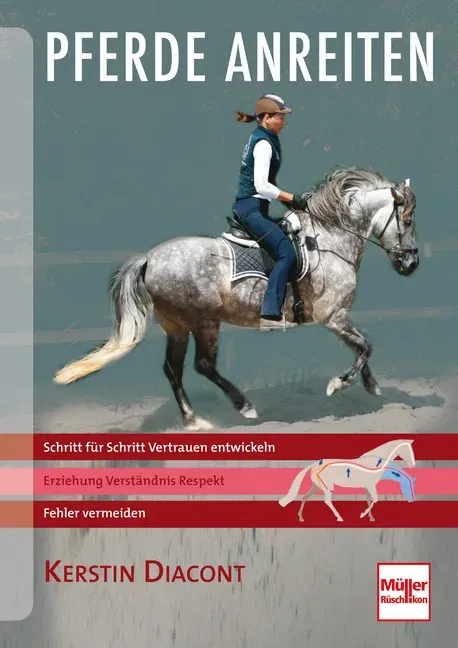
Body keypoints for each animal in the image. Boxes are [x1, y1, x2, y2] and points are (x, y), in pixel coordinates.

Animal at [53, 166, 419, 430]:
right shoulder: (333, 317)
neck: (331, 239)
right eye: (408, 219)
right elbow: (365, 347)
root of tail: (150, 259)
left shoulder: (337, 318)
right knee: (202, 365)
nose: (411, 264)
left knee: (173, 369)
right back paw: (244, 407)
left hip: (176, 325)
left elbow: (361, 347)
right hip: (204, 322)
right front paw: (338, 384)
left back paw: (194, 421)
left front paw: (371, 386)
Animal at [278, 439, 416, 522]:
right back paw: (339, 518)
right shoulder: (370, 485)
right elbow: (375, 500)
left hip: (316, 486)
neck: (375, 461)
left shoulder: (367, 486)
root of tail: (314, 464)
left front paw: (371, 517)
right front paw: (363, 515)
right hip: (327, 487)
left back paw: (301, 517)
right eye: (408, 450)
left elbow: (369, 500)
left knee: (305, 497)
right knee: (327, 501)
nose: (413, 465)